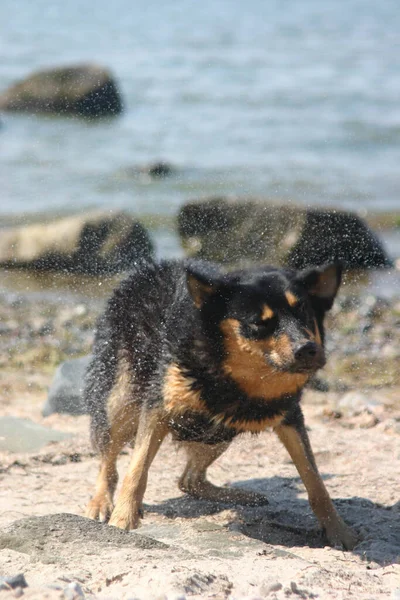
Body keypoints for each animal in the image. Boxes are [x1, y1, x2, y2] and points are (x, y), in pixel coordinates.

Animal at [85, 258, 360, 548]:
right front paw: (123, 518)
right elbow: (136, 469)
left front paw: (339, 530)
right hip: (120, 403)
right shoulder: (158, 406)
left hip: (218, 432)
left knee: (189, 480)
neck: (235, 378)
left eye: (303, 312)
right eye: (260, 323)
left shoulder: (289, 416)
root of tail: (152, 266)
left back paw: (239, 496)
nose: (308, 349)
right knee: (108, 461)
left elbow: (314, 480)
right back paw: (101, 501)